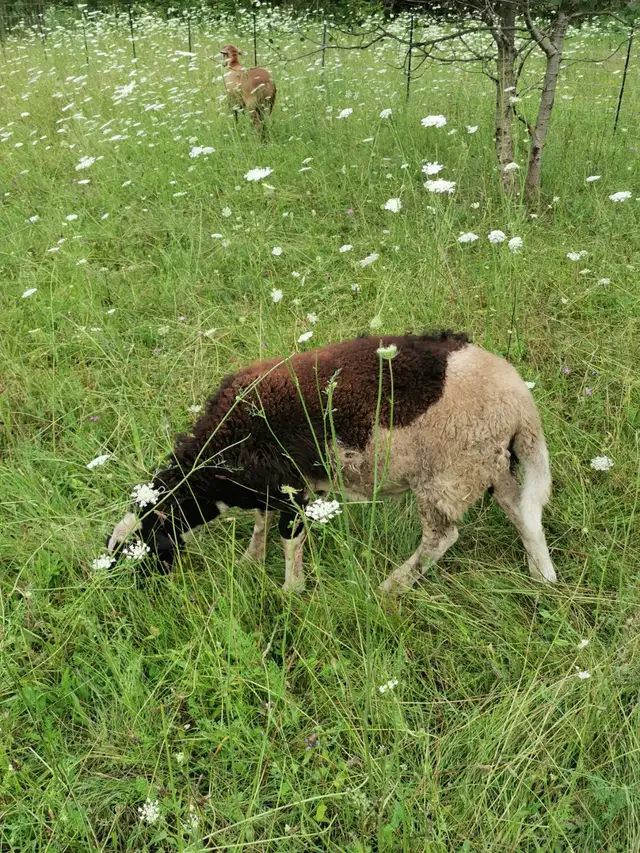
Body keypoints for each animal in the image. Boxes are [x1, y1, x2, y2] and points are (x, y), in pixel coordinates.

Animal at [107, 332, 557, 594]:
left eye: (139, 547)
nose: (136, 588)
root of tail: (520, 402)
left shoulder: (290, 484)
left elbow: (288, 536)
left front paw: (290, 591)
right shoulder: (272, 483)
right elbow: (262, 522)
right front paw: (250, 561)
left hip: (447, 474)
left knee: (441, 538)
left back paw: (391, 587)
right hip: (488, 464)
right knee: (520, 510)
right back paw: (542, 574)